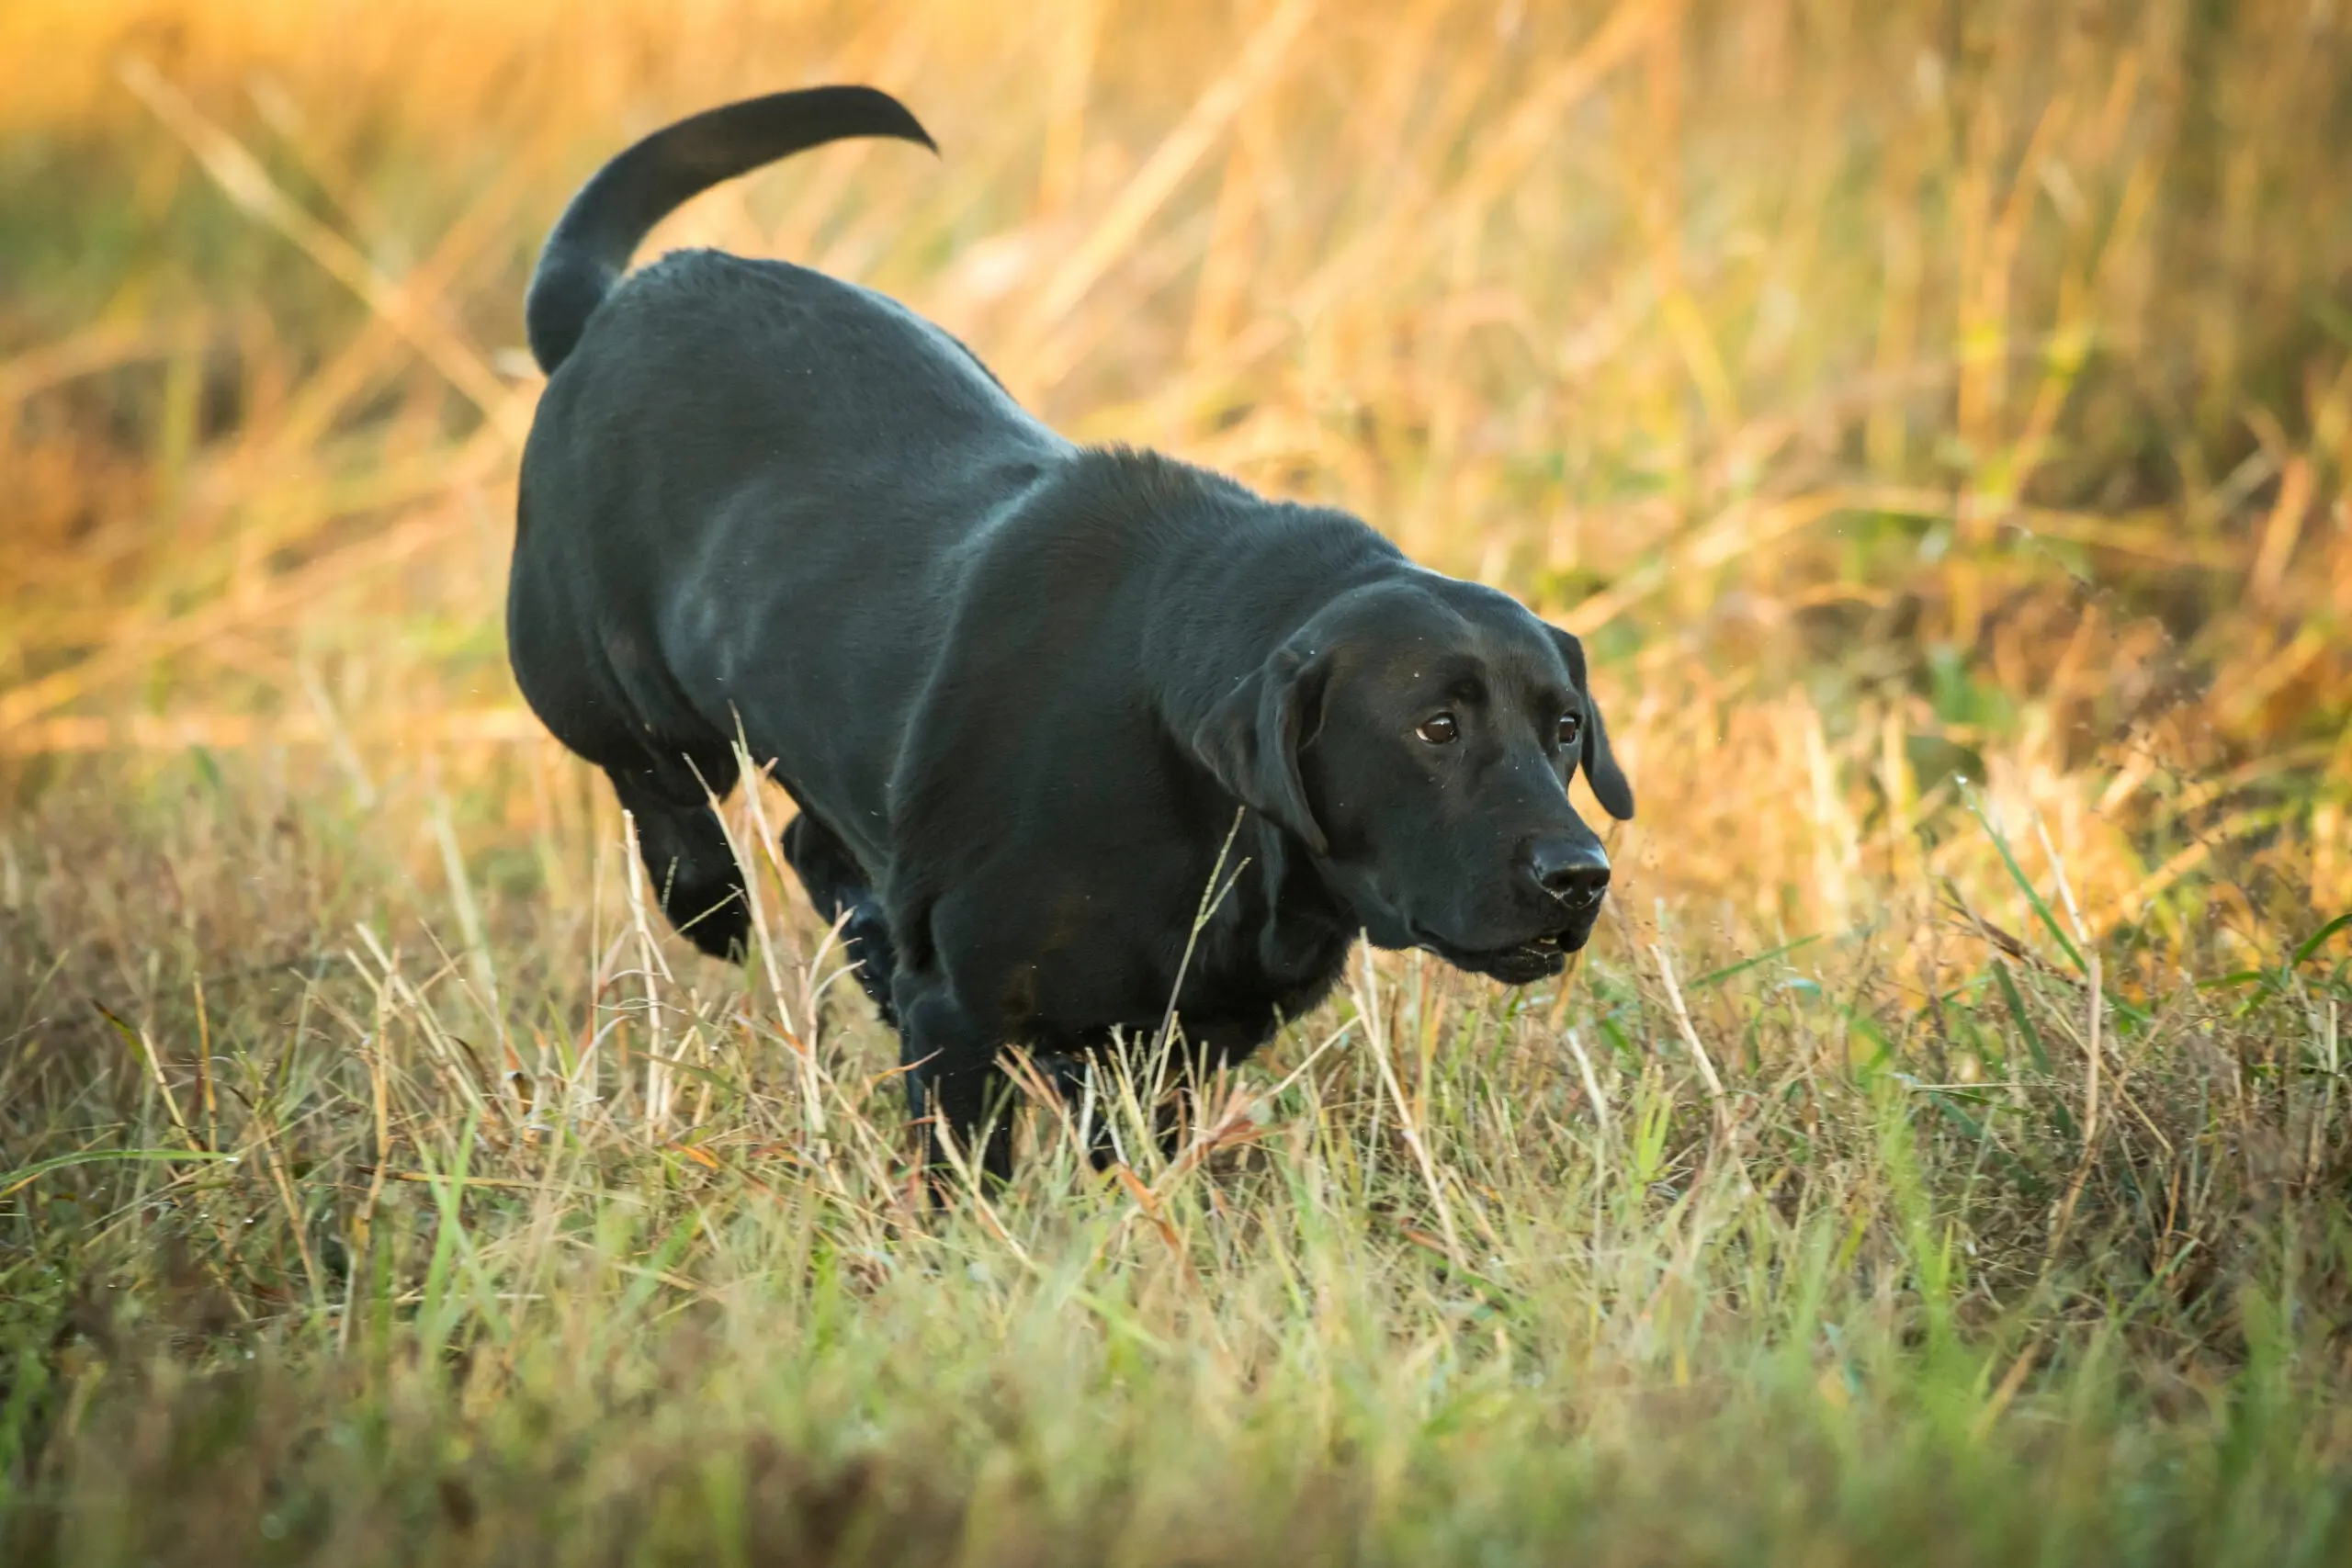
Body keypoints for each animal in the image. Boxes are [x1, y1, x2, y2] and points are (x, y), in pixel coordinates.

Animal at [505, 85, 1627, 1184]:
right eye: (1435, 726)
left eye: (1566, 729)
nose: (1579, 875)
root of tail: (614, 303)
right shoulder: (964, 1011)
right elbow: (966, 1167)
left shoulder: (1175, 1038)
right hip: (585, 669)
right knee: (662, 784)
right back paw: (713, 899)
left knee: (815, 846)